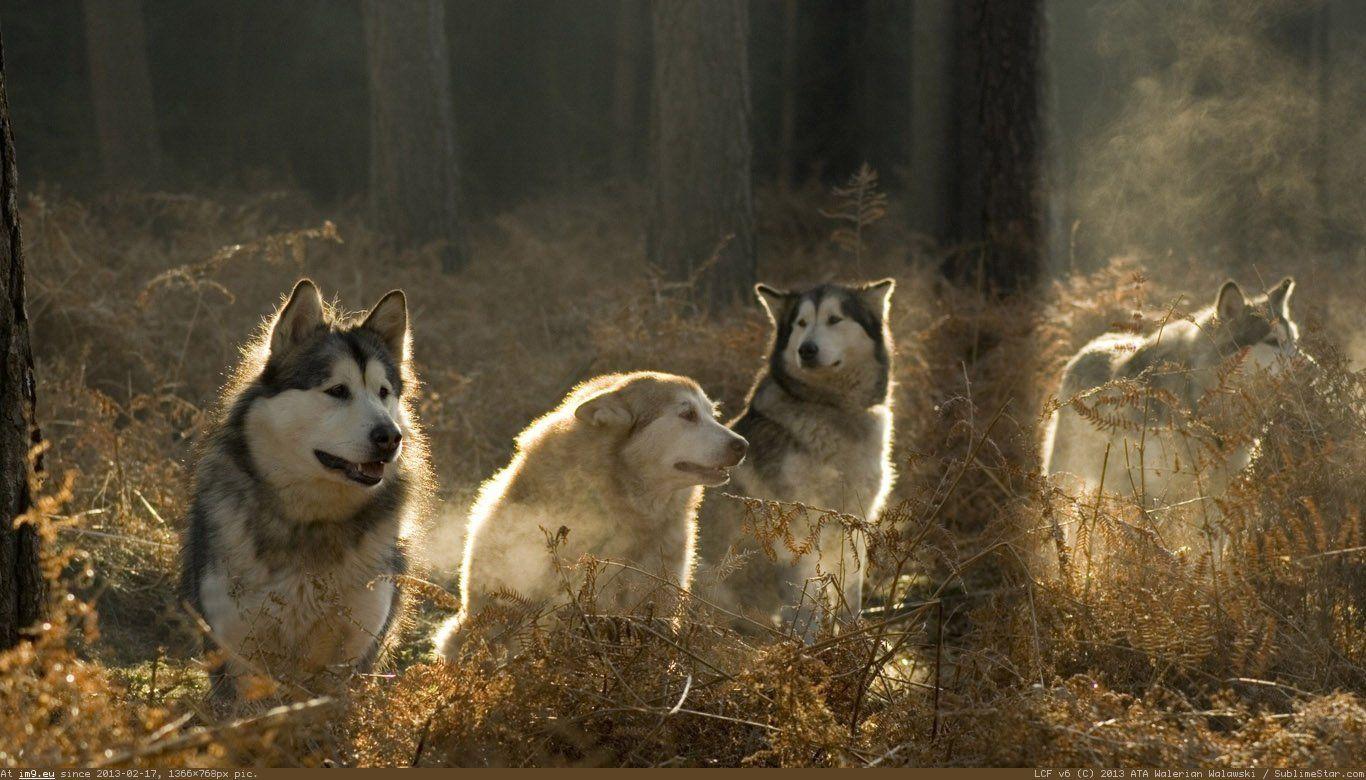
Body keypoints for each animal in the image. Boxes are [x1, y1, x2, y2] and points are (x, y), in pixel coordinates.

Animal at [180, 279, 433, 698]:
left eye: (383, 392)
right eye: (338, 390)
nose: (390, 437)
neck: (310, 522)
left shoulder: (352, 658)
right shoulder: (239, 655)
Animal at [697, 279, 896, 636]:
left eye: (834, 319)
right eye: (801, 323)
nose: (807, 349)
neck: (830, 408)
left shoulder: (855, 521)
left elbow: (850, 592)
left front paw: (851, 638)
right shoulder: (798, 525)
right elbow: (806, 601)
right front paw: (809, 643)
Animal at [1042, 277, 1307, 540]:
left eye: (1293, 341)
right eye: (1273, 342)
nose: (1311, 366)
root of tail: (1088, 347)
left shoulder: (1215, 497)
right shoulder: (1158, 496)